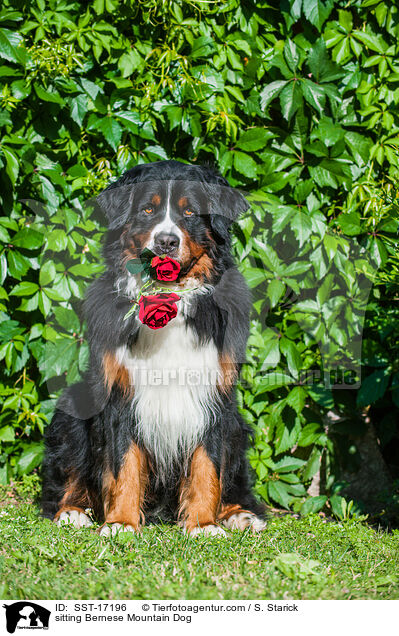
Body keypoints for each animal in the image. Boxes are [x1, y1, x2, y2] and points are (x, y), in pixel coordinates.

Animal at [40, 160, 268, 536]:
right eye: (148, 209)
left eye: (190, 212)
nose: (166, 241)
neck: (168, 301)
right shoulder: (119, 392)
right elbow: (123, 464)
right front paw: (121, 522)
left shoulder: (215, 395)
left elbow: (208, 465)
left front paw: (203, 523)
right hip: (71, 407)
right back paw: (73, 511)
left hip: (238, 426)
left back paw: (240, 514)